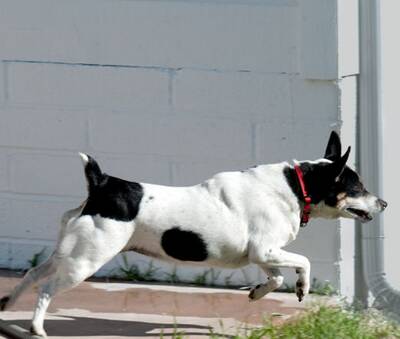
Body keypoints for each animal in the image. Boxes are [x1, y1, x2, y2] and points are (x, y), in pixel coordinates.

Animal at [0, 131, 388, 338]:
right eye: (358, 188)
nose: (384, 203)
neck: (297, 187)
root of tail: (102, 183)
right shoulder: (267, 250)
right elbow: (303, 263)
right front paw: (302, 289)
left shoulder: (263, 254)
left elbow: (275, 278)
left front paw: (257, 293)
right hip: (86, 260)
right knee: (46, 289)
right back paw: (36, 327)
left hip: (69, 251)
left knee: (32, 274)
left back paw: (8, 306)